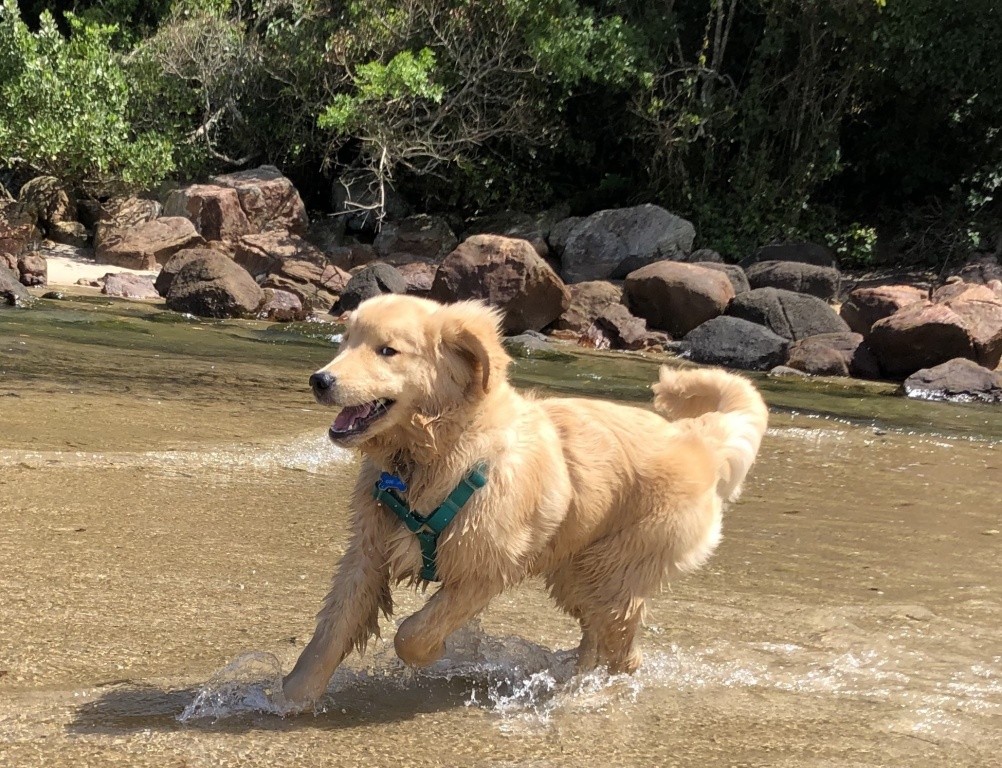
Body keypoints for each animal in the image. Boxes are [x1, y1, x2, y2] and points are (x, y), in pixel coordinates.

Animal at [282, 294, 765, 709]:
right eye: (346, 340)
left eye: (388, 350)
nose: (319, 380)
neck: (432, 456)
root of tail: (694, 438)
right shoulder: (368, 551)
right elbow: (332, 630)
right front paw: (290, 697)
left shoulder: (487, 566)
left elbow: (411, 634)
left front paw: (438, 654)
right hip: (577, 574)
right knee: (596, 637)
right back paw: (573, 676)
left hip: (613, 572)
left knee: (624, 651)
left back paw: (593, 692)